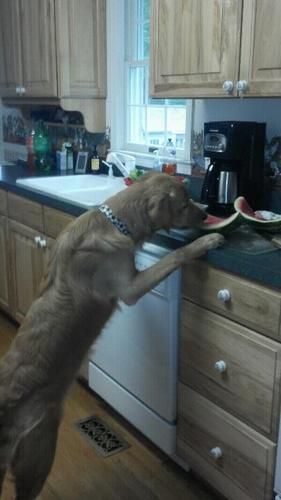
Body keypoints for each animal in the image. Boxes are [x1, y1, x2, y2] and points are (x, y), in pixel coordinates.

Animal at [0, 173, 223, 500]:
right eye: (184, 204)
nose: (206, 217)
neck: (115, 221)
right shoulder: (130, 288)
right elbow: (175, 256)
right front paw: (205, 241)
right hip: (39, 453)